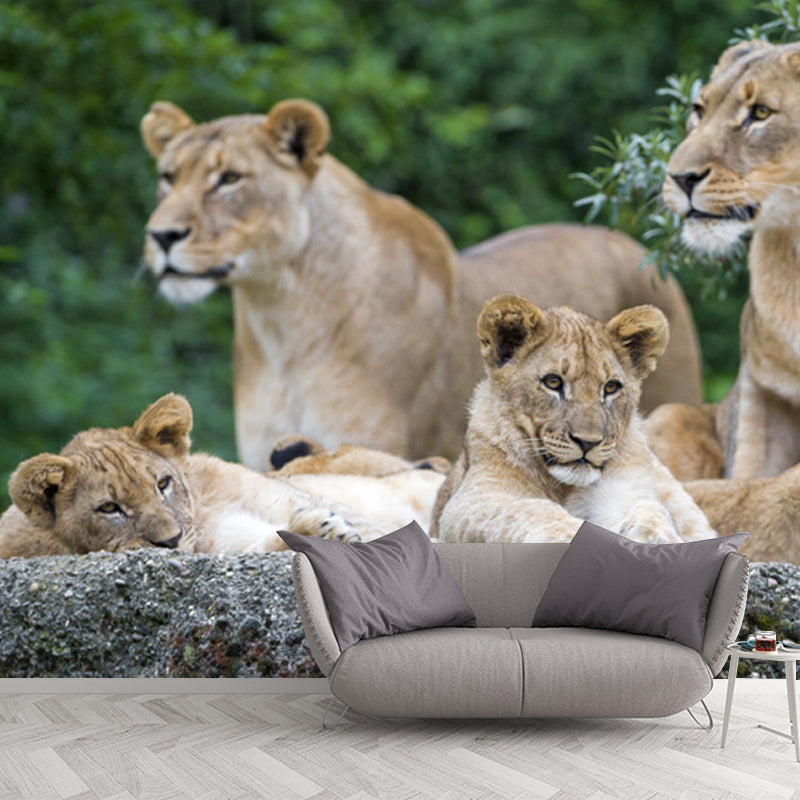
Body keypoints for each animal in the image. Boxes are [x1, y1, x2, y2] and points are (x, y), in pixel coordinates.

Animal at [0, 395, 446, 559]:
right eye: (109, 508)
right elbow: (274, 539)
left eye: (163, 484)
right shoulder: (231, 543)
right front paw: (323, 533)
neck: (205, 510)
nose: (171, 541)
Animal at [140, 98, 702, 470]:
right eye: (168, 177)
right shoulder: (266, 453)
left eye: (230, 179)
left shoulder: (377, 446)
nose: (161, 236)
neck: (281, 321)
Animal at [432, 294, 717, 545]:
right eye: (553, 382)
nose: (588, 443)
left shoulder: (624, 490)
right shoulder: (471, 500)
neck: (562, 486)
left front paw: (657, 537)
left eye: (611, 387)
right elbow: (530, 510)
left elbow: (648, 507)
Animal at [648, 40, 800, 482]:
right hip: (669, 415)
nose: (680, 178)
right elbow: (751, 474)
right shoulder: (764, 392)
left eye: (761, 113)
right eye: (699, 110)